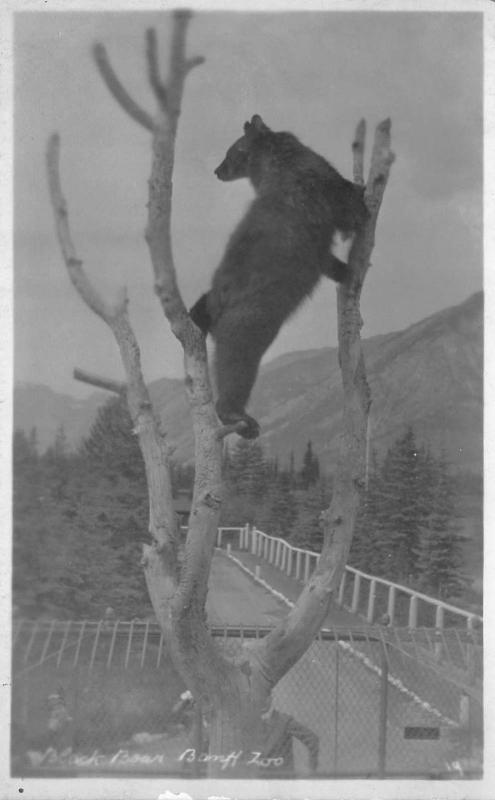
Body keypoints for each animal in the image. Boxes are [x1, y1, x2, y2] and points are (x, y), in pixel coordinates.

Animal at [190, 114, 368, 438]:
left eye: (230, 152)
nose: (218, 170)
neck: (275, 161)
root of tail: (215, 307)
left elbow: (326, 259)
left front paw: (344, 269)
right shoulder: (317, 181)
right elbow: (345, 203)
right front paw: (363, 200)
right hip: (249, 322)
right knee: (237, 365)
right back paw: (240, 417)